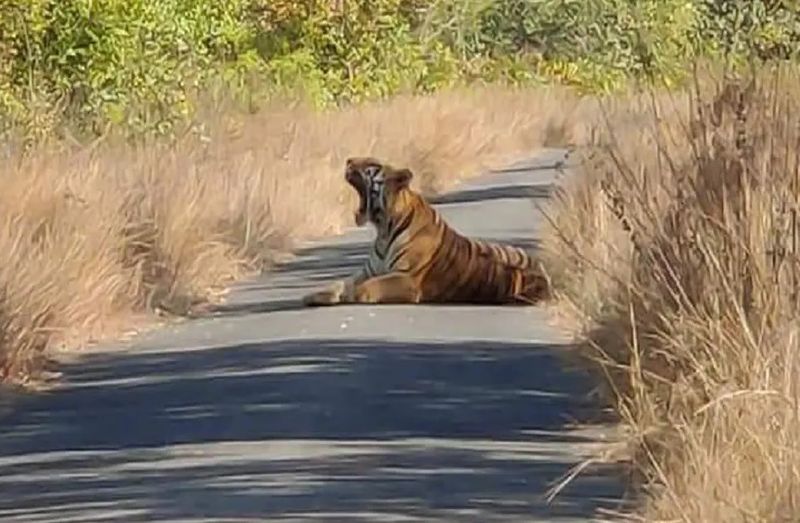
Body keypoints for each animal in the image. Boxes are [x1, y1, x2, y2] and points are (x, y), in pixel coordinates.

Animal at [300, 158, 552, 310]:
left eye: (371, 165)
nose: (348, 160)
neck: (383, 229)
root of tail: (543, 271)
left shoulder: (408, 279)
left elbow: (366, 287)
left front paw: (349, 295)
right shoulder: (366, 271)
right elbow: (339, 282)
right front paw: (314, 295)